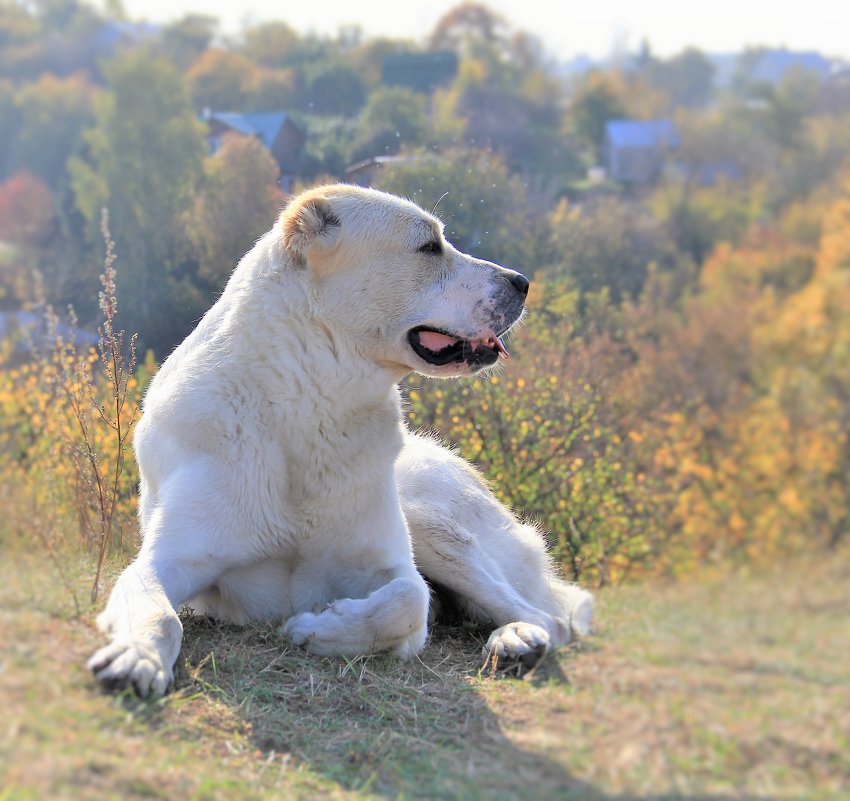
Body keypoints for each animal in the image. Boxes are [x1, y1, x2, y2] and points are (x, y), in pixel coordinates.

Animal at [86, 181, 588, 692]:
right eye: (429, 247)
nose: (522, 283)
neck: (309, 407)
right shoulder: (161, 562)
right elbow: (161, 614)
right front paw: (137, 657)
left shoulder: (390, 565)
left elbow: (409, 600)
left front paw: (317, 627)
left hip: (430, 522)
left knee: (545, 616)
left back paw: (516, 639)